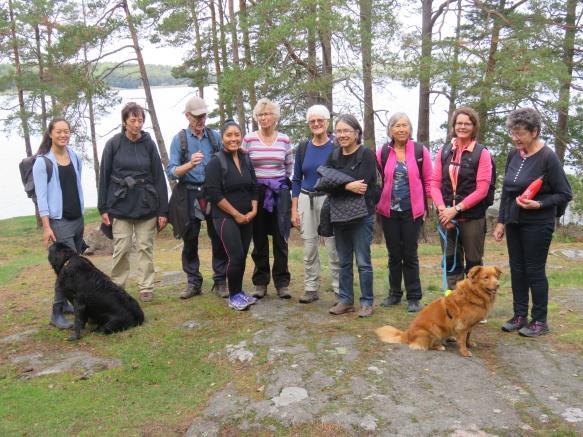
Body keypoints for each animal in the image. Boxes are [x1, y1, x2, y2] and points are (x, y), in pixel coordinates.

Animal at [376, 264, 504, 356]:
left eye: (495, 277)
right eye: (486, 277)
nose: (498, 284)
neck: (474, 294)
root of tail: (407, 334)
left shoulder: (470, 325)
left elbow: (468, 336)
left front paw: (469, 344)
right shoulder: (463, 325)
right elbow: (463, 339)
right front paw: (464, 351)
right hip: (434, 329)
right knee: (426, 345)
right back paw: (439, 346)